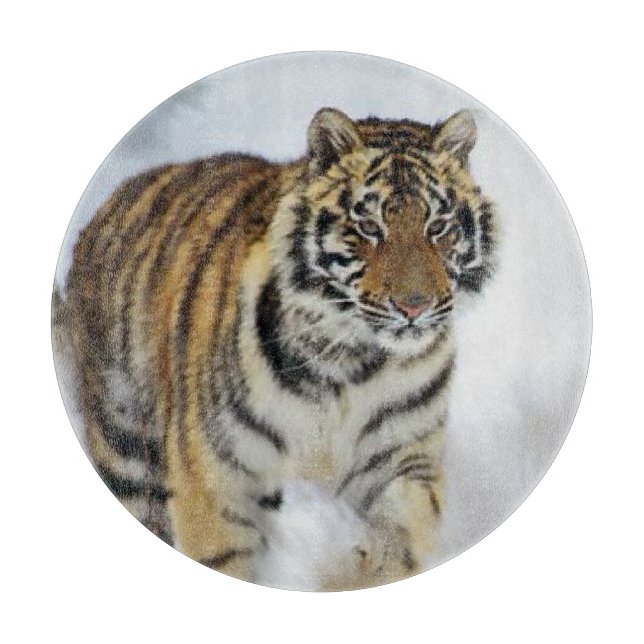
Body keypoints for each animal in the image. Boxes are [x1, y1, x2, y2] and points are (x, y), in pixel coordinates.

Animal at [54, 107, 496, 590]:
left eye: (438, 227)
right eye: (369, 227)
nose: (415, 306)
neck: (352, 361)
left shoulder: (405, 459)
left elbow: (399, 542)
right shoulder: (216, 477)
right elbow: (225, 559)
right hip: (125, 449)